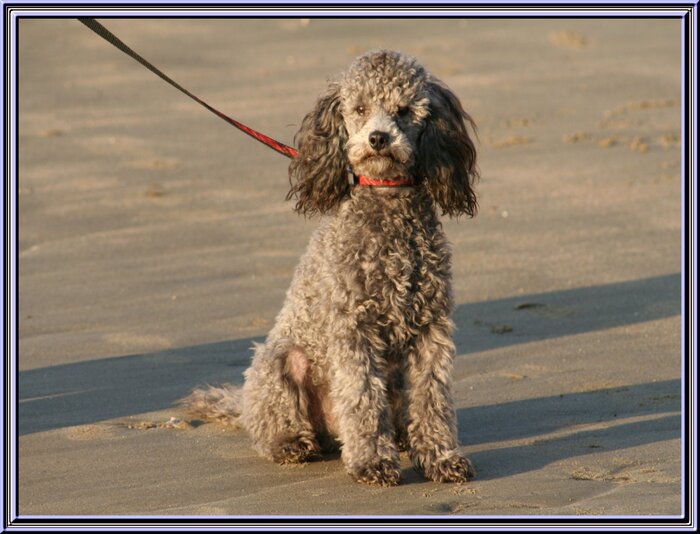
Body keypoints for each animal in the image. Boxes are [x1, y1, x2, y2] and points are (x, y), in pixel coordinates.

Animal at [185, 48, 482, 488]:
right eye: (359, 109)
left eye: (404, 110)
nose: (378, 138)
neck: (387, 202)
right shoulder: (353, 330)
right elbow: (362, 398)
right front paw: (372, 462)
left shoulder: (431, 329)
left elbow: (433, 399)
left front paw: (441, 458)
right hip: (280, 363)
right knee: (279, 427)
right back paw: (294, 443)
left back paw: (402, 438)